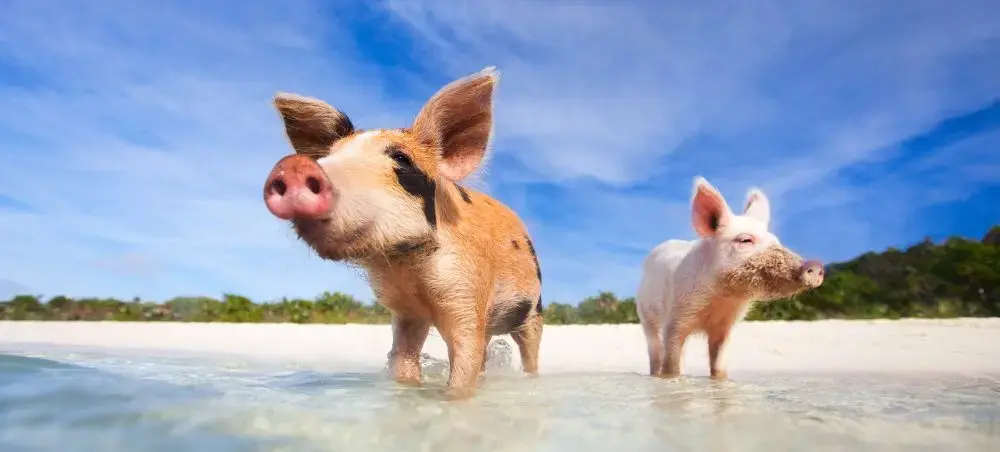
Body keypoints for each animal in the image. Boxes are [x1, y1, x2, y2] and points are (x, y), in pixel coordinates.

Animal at [262, 67, 543, 399]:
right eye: (327, 156)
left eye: (401, 159)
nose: (294, 166)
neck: (408, 266)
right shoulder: (406, 312)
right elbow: (403, 359)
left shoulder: (466, 291)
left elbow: (464, 363)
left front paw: (454, 399)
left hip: (534, 309)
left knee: (529, 351)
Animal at [635, 176, 825, 380]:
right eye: (745, 240)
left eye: (776, 241)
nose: (816, 266)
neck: (722, 299)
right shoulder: (676, 317)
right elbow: (671, 363)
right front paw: (671, 379)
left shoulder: (725, 326)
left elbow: (719, 365)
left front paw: (719, 380)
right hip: (645, 315)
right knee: (655, 351)